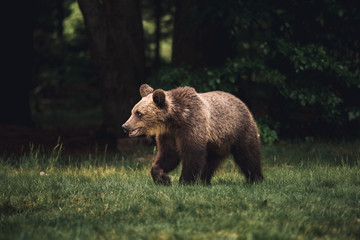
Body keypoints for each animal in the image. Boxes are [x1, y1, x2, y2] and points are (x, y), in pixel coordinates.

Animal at [122, 84, 262, 186]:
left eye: (139, 113)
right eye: (132, 111)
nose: (125, 126)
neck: (175, 119)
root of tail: (241, 101)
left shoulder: (192, 125)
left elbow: (192, 153)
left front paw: (184, 181)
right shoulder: (169, 134)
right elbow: (168, 154)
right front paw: (164, 178)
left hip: (239, 130)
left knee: (248, 155)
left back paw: (256, 179)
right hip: (216, 143)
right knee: (211, 162)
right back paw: (204, 181)